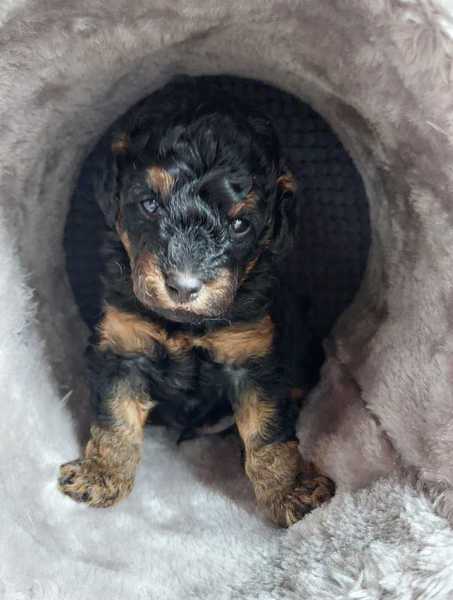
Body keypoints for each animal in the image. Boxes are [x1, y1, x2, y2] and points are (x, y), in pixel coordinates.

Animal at [58, 77, 334, 527]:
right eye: (150, 204)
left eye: (240, 224)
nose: (184, 286)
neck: (182, 324)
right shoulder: (123, 345)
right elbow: (116, 418)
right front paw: (101, 475)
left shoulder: (251, 356)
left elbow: (268, 430)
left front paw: (291, 490)